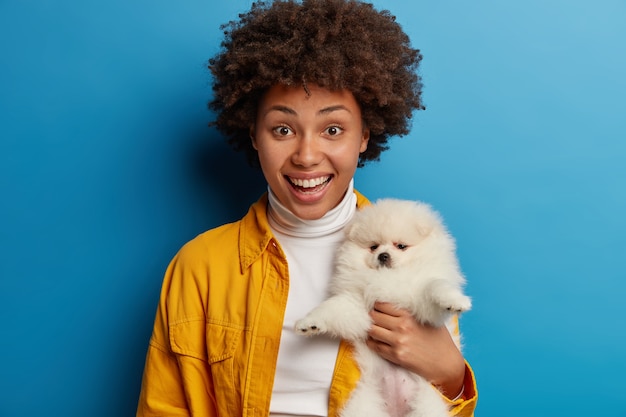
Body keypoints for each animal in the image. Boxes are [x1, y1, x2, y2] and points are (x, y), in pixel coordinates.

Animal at [292, 198, 468, 416]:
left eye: (401, 246)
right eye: (373, 247)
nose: (383, 255)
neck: (386, 277)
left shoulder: (421, 302)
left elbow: (435, 286)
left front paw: (455, 301)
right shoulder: (359, 308)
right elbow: (333, 308)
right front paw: (309, 323)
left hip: (426, 405)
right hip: (364, 405)